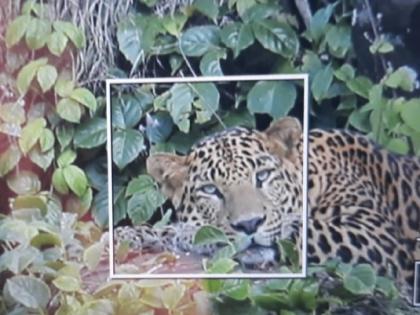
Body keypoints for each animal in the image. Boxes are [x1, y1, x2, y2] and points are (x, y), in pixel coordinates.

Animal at [115, 117, 420, 290]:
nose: (249, 224)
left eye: (261, 176)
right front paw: (130, 234)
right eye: (210, 190)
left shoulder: (375, 235)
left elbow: (299, 226)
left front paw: (191, 235)